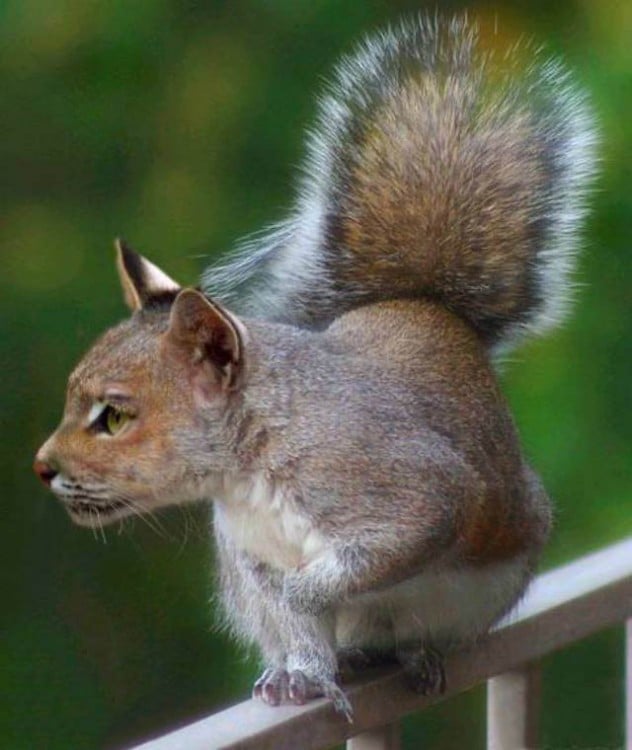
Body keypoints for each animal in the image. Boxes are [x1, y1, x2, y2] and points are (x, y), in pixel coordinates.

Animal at [34, 16, 596, 724]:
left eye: (114, 415)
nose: (42, 467)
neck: (250, 461)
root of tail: (425, 309)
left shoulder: (414, 495)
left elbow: (341, 574)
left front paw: (309, 603)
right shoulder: (252, 555)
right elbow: (292, 620)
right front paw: (301, 670)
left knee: (406, 629)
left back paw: (414, 654)